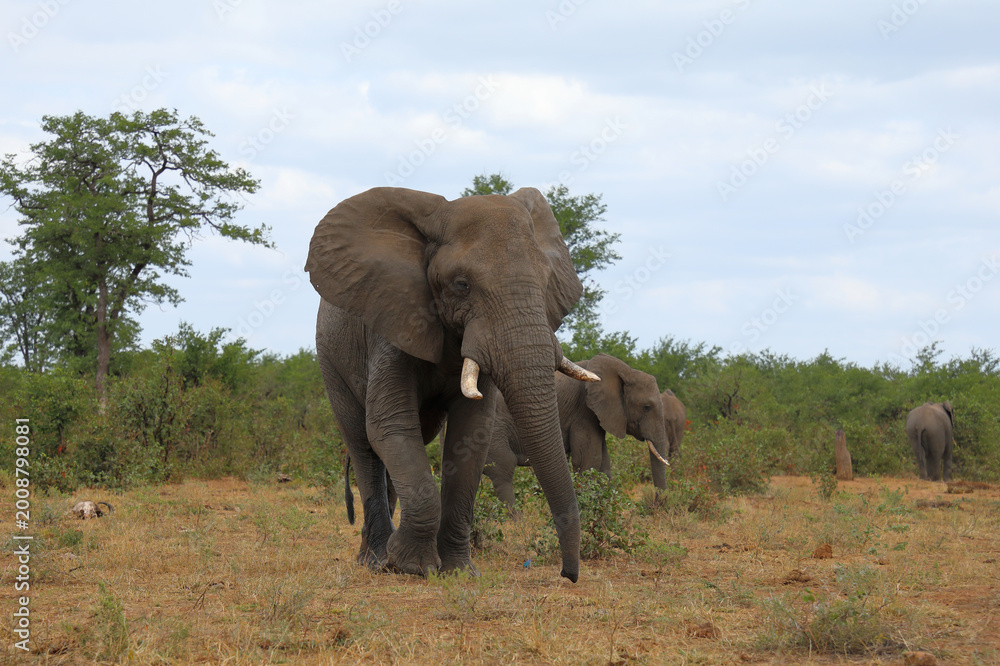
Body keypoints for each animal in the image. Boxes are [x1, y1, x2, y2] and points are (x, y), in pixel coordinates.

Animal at [306, 186, 599, 582]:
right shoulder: (395, 322)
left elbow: (471, 435)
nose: (568, 574)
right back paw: (375, 559)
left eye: (547, 281)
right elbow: (389, 425)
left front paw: (458, 571)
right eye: (462, 285)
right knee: (363, 446)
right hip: (331, 360)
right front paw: (410, 566)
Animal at [483, 353, 670, 511]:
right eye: (646, 407)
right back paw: (516, 521)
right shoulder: (583, 412)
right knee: (503, 468)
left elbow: (603, 464)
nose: (654, 507)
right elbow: (588, 460)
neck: (625, 371)